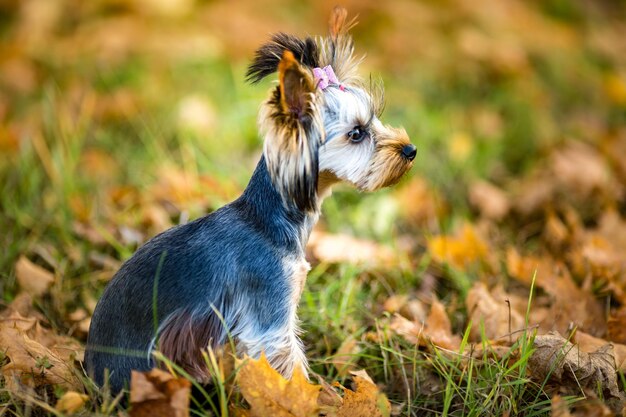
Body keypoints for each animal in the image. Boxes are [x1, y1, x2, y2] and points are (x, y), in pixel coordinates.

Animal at [83, 7, 414, 394]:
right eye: (357, 133)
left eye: (376, 120)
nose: (410, 150)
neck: (269, 219)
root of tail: (91, 375)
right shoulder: (270, 313)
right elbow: (290, 368)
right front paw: (313, 398)